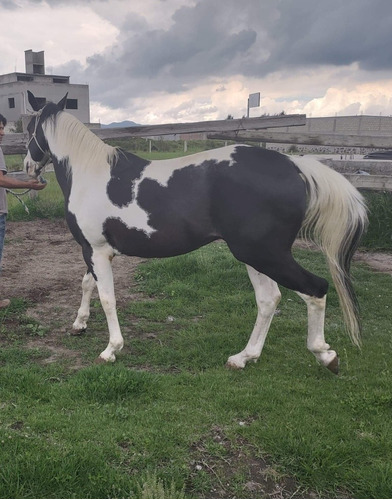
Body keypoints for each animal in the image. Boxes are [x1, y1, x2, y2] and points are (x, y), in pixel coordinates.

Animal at [24, 93, 368, 376]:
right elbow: (87, 284)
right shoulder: (94, 249)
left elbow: (107, 298)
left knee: (315, 289)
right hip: (257, 256)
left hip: (264, 254)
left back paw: (325, 355)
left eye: (29, 129)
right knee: (270, 299)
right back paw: (243, 357)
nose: (28, 166)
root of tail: (294, 165)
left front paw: (111, 350)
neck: (90, 174)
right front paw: (79, 324)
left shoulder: (95, 250)